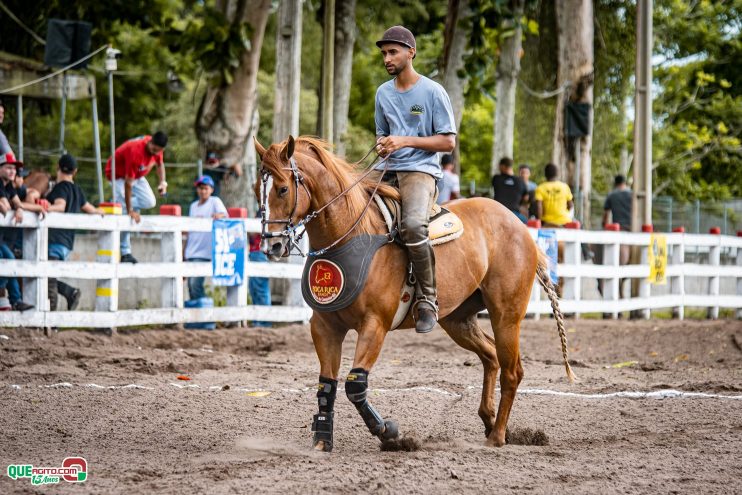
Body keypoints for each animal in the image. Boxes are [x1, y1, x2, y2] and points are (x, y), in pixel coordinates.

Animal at [256, 137, 576, 454]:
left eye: (283, 188)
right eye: (258, 188)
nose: (272, 246)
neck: (351, 234)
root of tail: (520, 226)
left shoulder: (375, 325)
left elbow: (355, 385)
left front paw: (389, 432)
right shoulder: (325, 326)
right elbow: (326, 385)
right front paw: (323, 439)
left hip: (506, 315)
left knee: (512, 371)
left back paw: (496, 435)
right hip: (458, 320)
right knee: (490, 356)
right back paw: (490, 420)